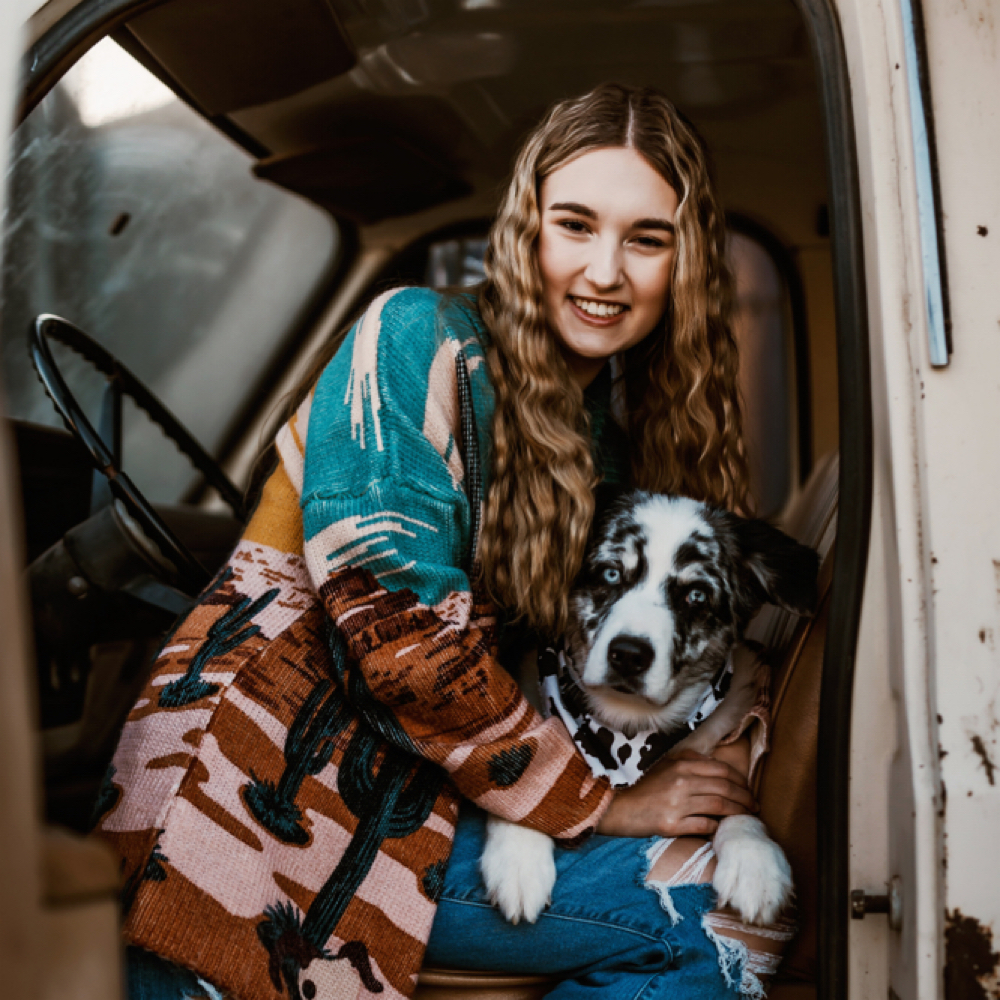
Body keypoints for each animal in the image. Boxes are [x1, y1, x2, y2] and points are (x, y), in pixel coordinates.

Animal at [480, 492, 816, 928]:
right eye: (610, 574)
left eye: (696, 595)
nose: (628, 654)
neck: (631, 724)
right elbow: (526, 777)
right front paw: (518, 857)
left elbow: (741, 811)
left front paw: (756, 860)